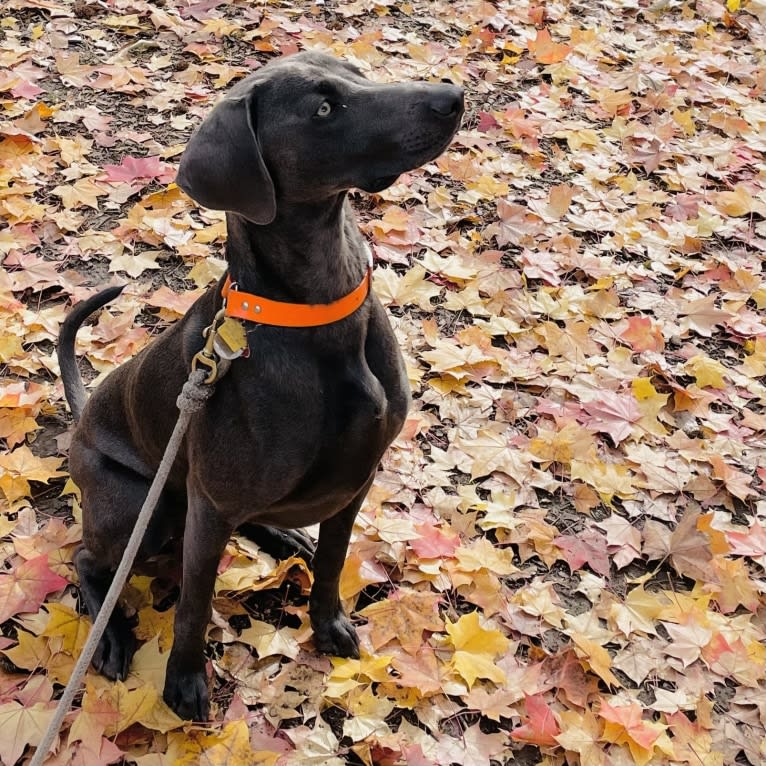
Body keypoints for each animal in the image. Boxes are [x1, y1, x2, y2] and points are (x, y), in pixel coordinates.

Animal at [57, 51, 464, 724]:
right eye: (323, 109)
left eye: (355, 70)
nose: (452, 96)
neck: (319, 309)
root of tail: (82, 418)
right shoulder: (210, 504)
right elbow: (194, 604)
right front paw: (184, 683)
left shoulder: (357, 479)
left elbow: (333, 561)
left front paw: (328, 627)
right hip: (141, 509)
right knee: (91, 560)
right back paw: (110, 635)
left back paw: (282, 534)